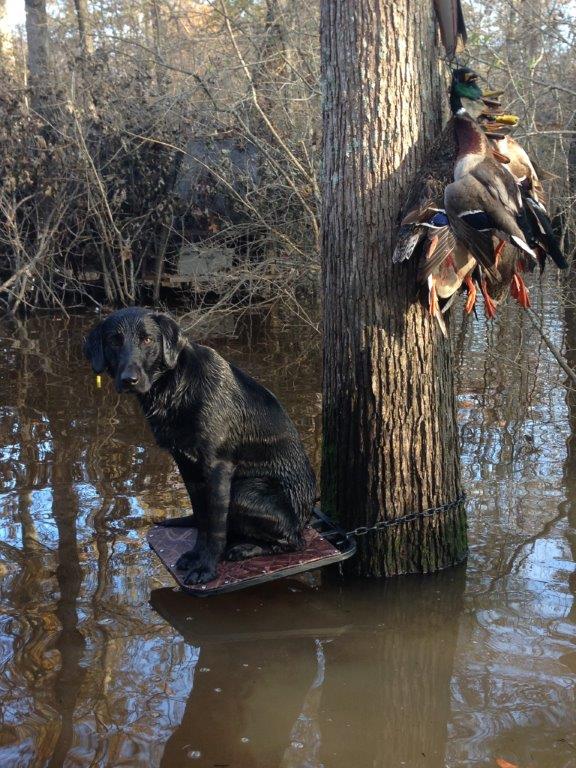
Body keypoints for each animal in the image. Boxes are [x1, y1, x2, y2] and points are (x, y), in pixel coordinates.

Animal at [84, 308, 316, 584]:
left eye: (147, 339)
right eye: (114, 341)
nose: (129, 380)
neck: (175, 387)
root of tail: (304, 519)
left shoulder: (217, 466)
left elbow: (215, 526)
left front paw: (206, 567)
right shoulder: (187, 464)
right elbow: (202, 519)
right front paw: (196, 555)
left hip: (243, 491)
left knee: (294, 542)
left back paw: (245, 548)